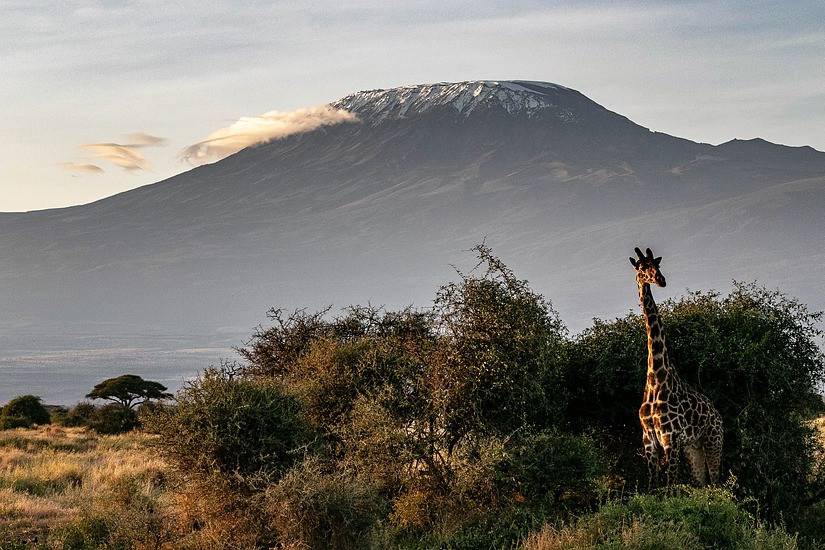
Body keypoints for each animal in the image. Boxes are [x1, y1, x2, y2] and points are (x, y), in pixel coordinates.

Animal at [628, 248, 724, 490]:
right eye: (642, 267)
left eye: (657, 265)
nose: (661, 280)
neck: (656, 377)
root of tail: (719, 415)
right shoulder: (649, 439)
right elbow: (653, 485)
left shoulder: (670, 437)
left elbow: (671, 485)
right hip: (693, 448)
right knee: (702, 482)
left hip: (713, 440)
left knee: (717, 481)